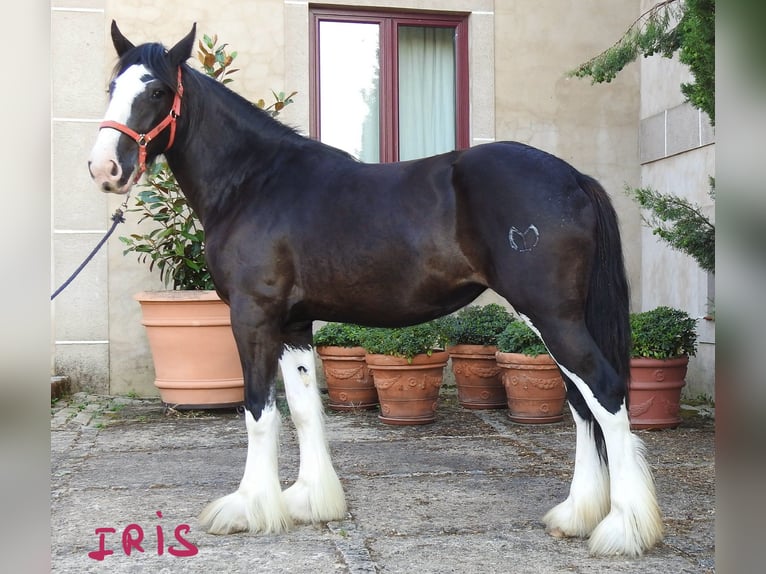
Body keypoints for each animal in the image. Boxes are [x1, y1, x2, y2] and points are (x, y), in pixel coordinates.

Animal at [88, 22, 664, 560]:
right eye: (111, 85)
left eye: (157, 90)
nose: (105, 168)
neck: (254, 182)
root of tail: (573, 178)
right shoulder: (293, 324)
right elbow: (303, 409)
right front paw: (310, 501)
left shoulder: (254, 316)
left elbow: (258, 411)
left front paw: (248, 508)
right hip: (556, 320)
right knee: (581, 402)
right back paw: (577, 515)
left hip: (552, 316)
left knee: (604, 392)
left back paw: (622, 529)